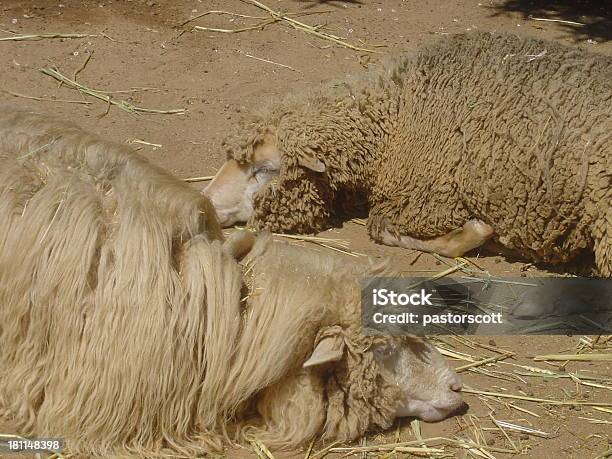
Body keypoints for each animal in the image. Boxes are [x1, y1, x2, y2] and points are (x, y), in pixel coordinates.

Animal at [206, 33, 612, 276]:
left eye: (265, 169)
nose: (206, 202)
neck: (396, 114)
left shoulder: (429, 197)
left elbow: (384, 229)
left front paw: (478, 233)